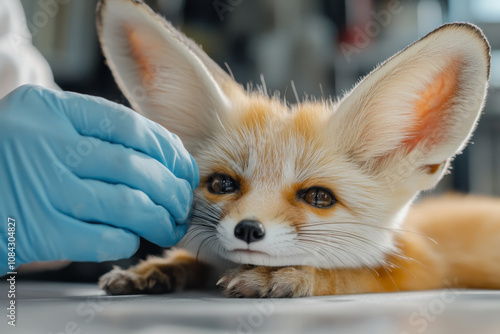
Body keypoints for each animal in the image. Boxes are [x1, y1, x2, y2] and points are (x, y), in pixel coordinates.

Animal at [95, 0, 498, 298]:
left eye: (318, 197)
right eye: (222, 184)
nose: (248, 229)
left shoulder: (422, 267)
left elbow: (351, 274)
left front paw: (293, 275)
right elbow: (198, 259)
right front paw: (156, 267)